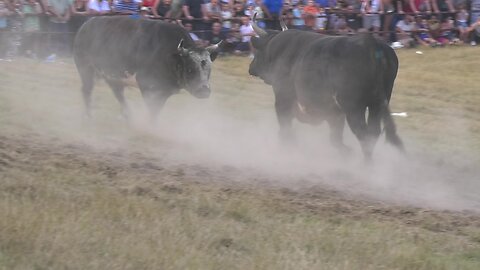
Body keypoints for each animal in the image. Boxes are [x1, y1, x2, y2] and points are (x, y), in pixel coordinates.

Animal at [73, 16, 221, 119]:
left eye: (209, 70)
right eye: (190, 68)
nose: (204, 91)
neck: (169, 54)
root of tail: (86, 24)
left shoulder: (164, 91)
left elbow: (157, 108)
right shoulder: (147, 85)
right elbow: (152, 109)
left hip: (113, 75)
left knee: (118, 92)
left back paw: (127, 115)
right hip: (85, 68)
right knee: (87, 90)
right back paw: (89, 115)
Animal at [249, 15, 404, 159]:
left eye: (257, 51)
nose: (251, 68)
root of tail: (371, 44)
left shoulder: (283, 96)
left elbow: (285, 125)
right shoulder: (333, 111)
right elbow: (334, 134)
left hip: (353, 108)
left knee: (363, 134)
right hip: (376, 105)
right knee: (373, 132)